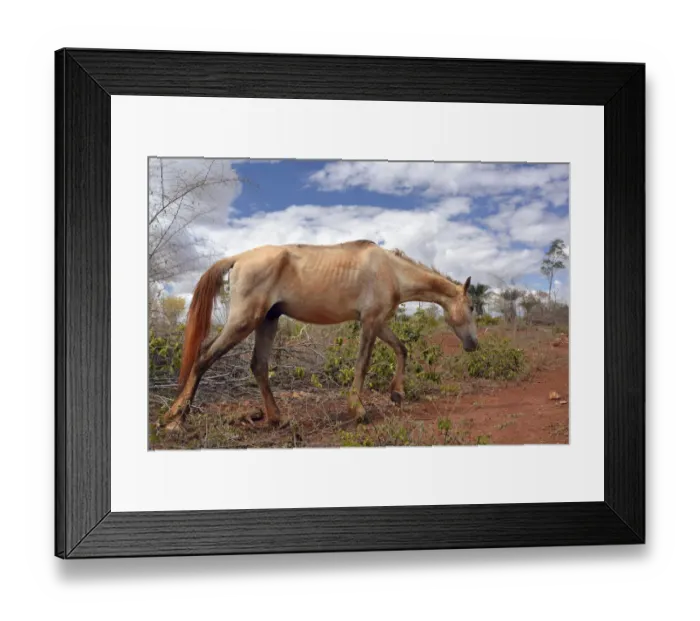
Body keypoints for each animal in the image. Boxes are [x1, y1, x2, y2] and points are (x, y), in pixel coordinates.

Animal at [162, 240, 478, 432]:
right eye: (472, 306)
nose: (473, 344)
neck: (391, 270)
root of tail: (238, 257)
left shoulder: (377, 322)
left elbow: (401, 349)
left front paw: (397, 393)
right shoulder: (371, 322)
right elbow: (362, 364)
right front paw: (358, 410)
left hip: (268, 321)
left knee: (258, 366)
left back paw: (277, 418)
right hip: (244, 321)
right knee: (204, 357)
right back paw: (176, 418)